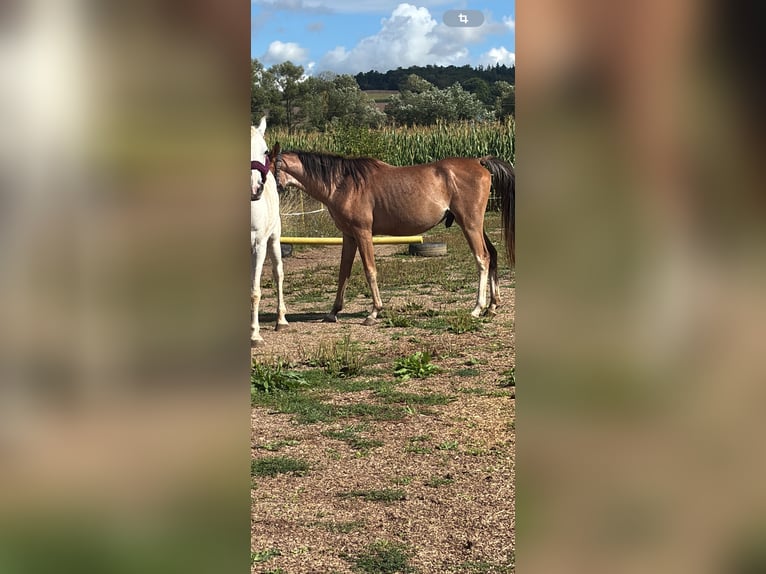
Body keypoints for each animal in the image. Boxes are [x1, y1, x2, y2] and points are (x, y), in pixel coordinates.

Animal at [268, 143, 514, 325]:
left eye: (265, 169)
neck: (342, 184)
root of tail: (479, 161)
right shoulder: (348, 236)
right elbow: (343, 273)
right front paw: (333, 312)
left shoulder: (363, 233)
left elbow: (370, 270)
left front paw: (374, 312)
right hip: (476, 226)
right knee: (492, 255)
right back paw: (492, 306)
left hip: (470, 224)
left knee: (482, 259)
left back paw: (477, 308)